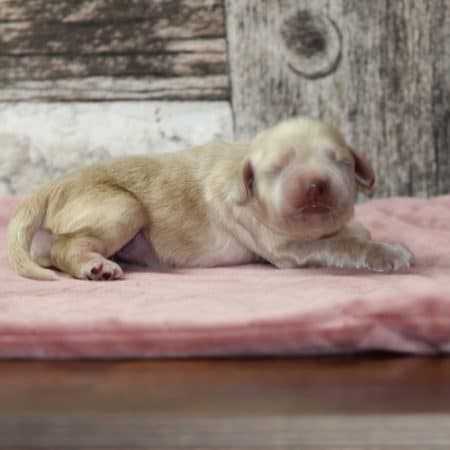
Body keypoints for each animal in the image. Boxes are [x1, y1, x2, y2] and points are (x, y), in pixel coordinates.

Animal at [7, 118, 414, 280]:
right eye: (277, 169)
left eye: (340, 162)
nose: (316, 185)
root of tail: (49, 187)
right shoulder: (286, 247)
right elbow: (341, 245)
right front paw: (390, 252)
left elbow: (349, 232)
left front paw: (358, 230)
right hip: (123, 207)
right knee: (66, 246)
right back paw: (97, 266)